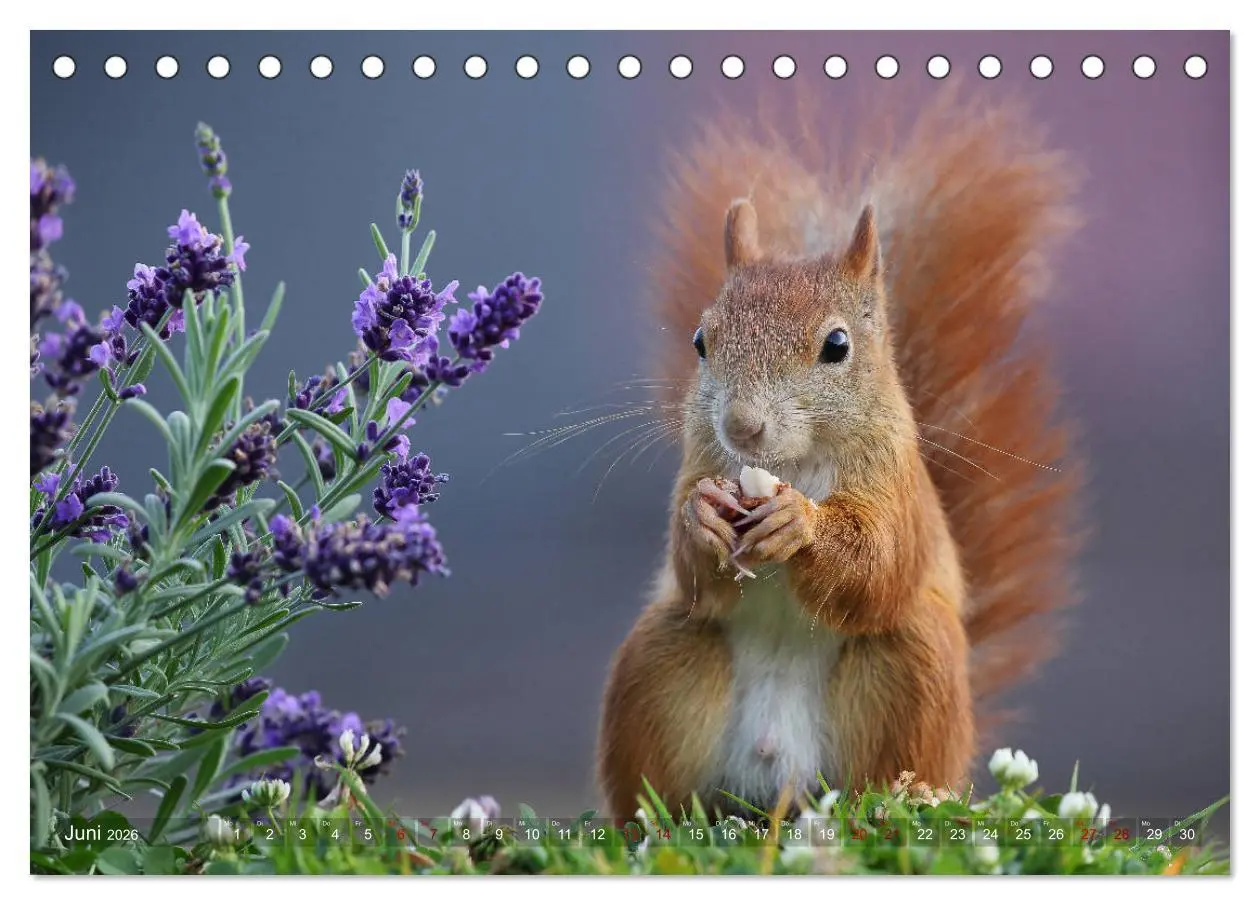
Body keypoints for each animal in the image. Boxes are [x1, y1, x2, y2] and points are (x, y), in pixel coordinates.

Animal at [597, 95, 1083, 821]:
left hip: (912, 668)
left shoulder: (895, 484)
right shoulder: (699, 463)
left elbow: (877, 561)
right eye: (700, 340)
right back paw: (656, 820)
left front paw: (799, 524)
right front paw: (702, 517)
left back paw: (894, 802)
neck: (793, 465)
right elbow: (693, 571)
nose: (742, 426)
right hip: (663, 657)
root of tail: (780, 781)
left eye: (837, 345)